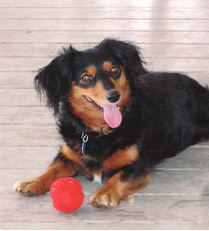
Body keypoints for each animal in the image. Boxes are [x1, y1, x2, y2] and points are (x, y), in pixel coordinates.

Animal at [13, 38, 209, 208]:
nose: (114, 96)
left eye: (115, 69)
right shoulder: (67, 155)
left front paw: (104, 193)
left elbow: (118, 177)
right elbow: (51, 170)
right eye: (86, 77)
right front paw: (32, 182)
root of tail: (202, 89)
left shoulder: (137, 164)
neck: (99, 132)